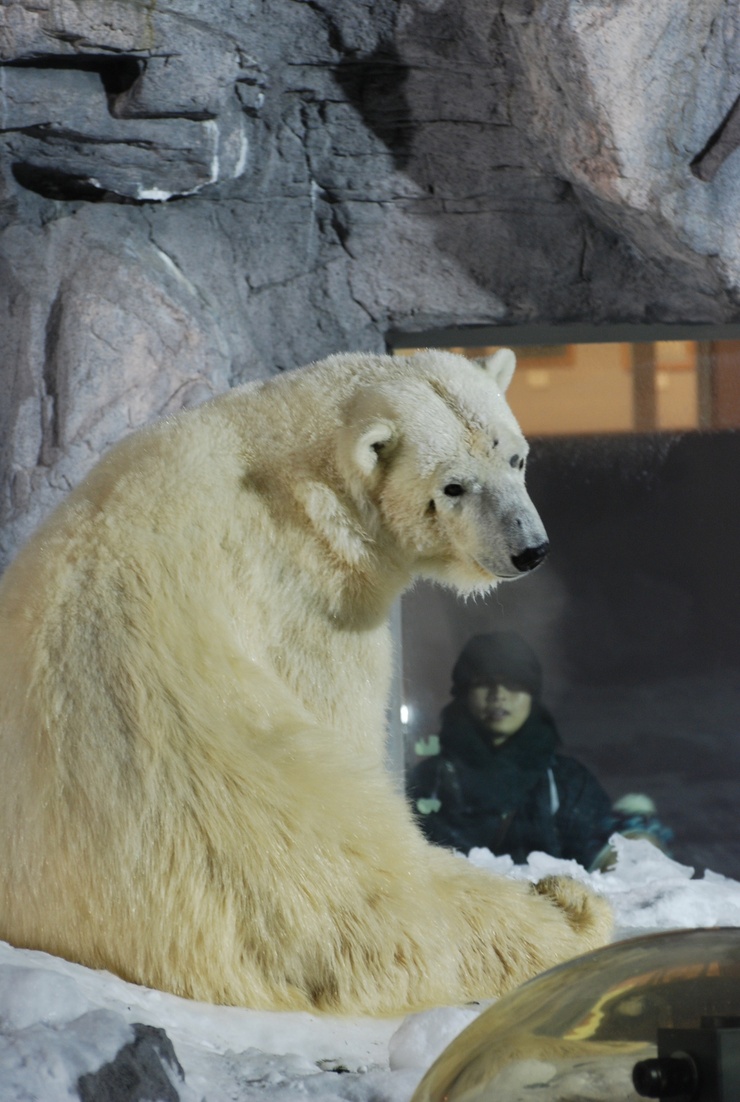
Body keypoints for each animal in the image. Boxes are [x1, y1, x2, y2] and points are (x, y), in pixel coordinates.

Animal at [0, 350, 607, 1013]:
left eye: (516, 458)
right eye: (452, 486)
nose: (529, 551)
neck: (297, 464)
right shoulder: (305, 597)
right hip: (259, 835)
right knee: (398, 899)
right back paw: (569, 906)